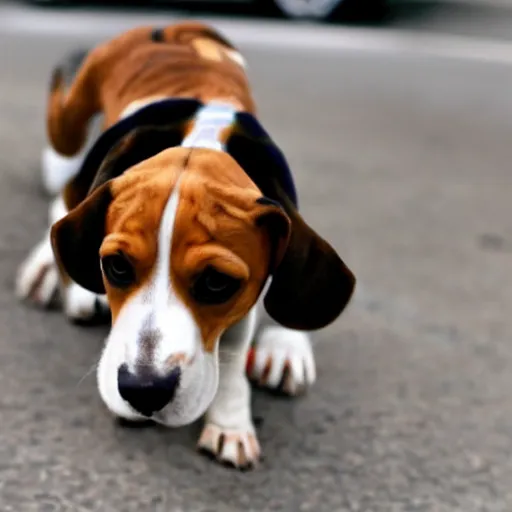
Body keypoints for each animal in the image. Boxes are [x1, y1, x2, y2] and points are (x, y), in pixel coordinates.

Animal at [14, 22, 354, 468]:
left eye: (216, 283)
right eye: (117, 266)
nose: (142, 391)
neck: (203, 141)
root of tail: (174, 30)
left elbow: (235, 345)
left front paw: (230, 419)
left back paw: (285, 345)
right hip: (70, 125)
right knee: (64, 187)